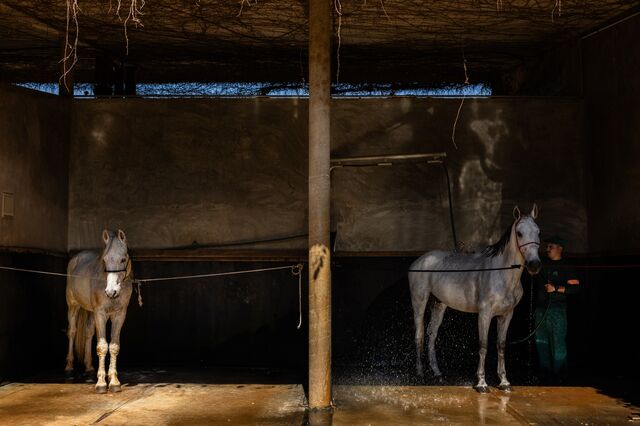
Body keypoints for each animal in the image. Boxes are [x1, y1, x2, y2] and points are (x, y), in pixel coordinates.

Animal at [65, 229, 133, 393]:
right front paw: (101, 383)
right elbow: (102, 346)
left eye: (123, 259)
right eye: (105, 260)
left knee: (88, 332)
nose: (111, 292)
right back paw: (69, 367)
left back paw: (89, 367)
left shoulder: (119, 315)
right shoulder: (100, 314)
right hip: (73, 306)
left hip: (90, 312)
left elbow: (113, 346)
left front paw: (113, 381)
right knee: (72, 331)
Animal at [409, 205, 541, 392]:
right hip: (419, 302)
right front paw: (481, 383)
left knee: (432, 335)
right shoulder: (484, 314)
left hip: (439, 305)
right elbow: (483, 345)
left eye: (538, 232)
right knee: (419, 335)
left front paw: (504, 382)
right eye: (520, 233)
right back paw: (420, 373)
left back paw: (437, 372)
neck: (501, 274)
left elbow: (501, 346)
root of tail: (419, 262)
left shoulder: (506, 315)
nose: (534, 265)